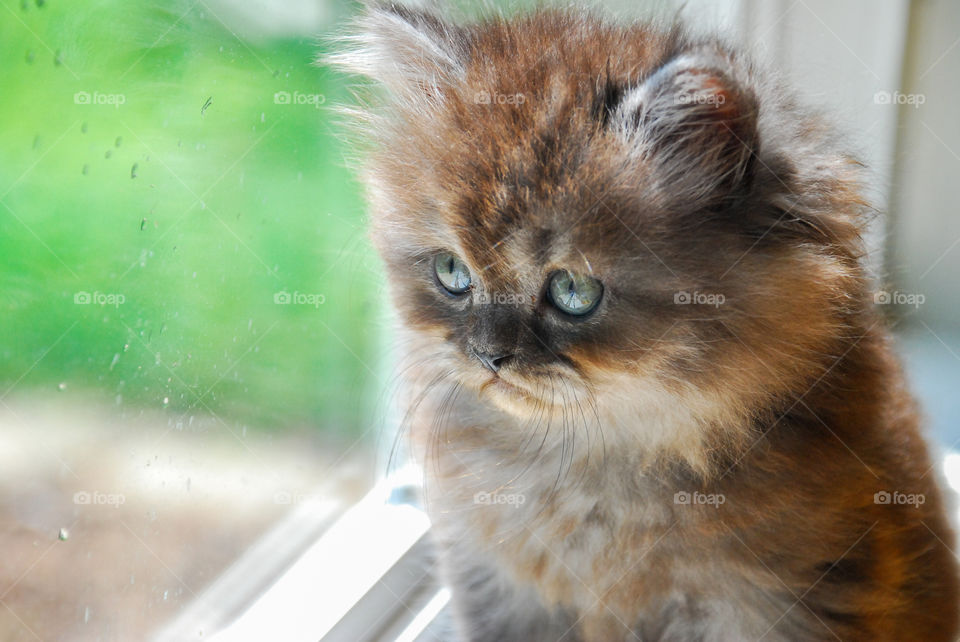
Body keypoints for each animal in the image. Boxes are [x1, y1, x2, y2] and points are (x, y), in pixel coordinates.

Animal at [332, 5, 960, 640]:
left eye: (573, 291)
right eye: (452, 272)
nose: (489, 356)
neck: (588, 465)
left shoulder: (778, 604)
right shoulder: (495, 581)